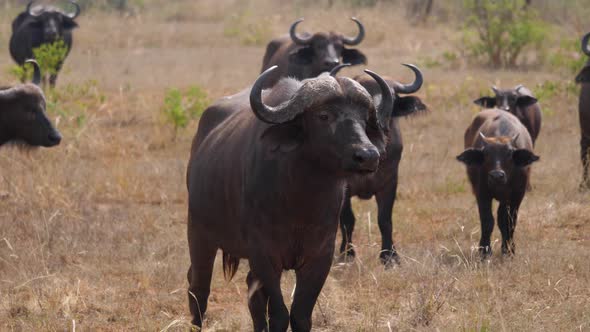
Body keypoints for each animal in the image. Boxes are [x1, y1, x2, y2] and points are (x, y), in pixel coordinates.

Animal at [187, 66, 396, 330]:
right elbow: (279, 314)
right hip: (199, 234)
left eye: (363, 118)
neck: (300, 201)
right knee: (198, 288)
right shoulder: (264, 256)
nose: (368, 155)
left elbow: (300, 314)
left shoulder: (320, 257)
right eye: (324, 116)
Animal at [338, 63, 430, 266]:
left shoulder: (389, 183)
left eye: (393, 97)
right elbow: (347, 220)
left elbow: (385, 220)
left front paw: (389, 255)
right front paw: (347, 254)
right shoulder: (344, 187)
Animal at [458, 110, 540, 258]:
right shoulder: (482, 193)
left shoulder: (517, 195)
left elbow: (509, 221)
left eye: (510, 153)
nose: (497, 175)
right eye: (486, 153)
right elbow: (487, 221)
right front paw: (485, 251)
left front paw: (509, 250)